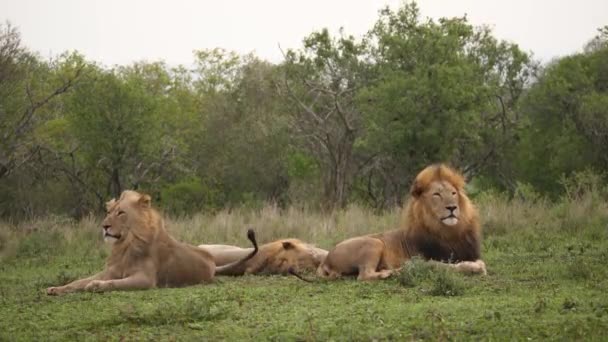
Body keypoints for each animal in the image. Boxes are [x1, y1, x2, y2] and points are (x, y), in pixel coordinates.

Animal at [45, 190, 258, 294]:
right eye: (109, 211)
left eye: (121, 213)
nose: (104, 226)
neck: (125, 245)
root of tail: (213, 264)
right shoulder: (110, 271)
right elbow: (78, 281)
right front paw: (55, 289)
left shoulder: (145, 279)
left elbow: (114, 284)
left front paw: (96, 286)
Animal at [316, 165, 486, 280]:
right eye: (436, 195)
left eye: (453, 193)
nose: (452, 207)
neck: (448, 233)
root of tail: (326, 259)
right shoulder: (424, 260)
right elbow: (448, 266)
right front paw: (475, 267)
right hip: (374, 242)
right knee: (364, 275)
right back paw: (393, 272)